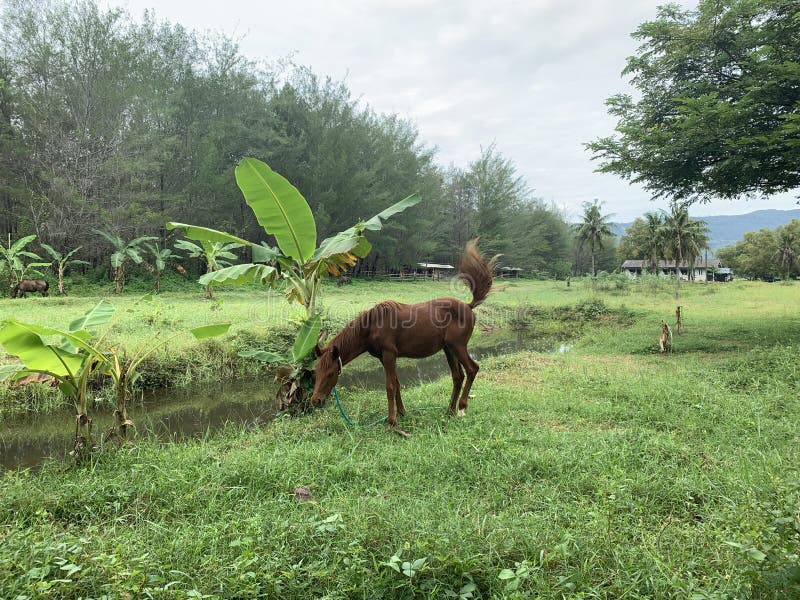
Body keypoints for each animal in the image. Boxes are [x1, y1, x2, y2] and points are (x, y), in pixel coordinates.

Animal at [311, 240, 497, 426]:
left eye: (331, 373)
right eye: (316, 372)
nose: (315, 401)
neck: (372, 325)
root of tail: (468, 306)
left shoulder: (389, 355)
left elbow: (390, 386)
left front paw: (391, 421)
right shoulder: (385, 358)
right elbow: (397, 384)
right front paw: (401, 412)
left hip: (458, 346)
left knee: (472, 369)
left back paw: (462, 406)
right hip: (449, 349)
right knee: (457, 377)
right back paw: (449, 411)